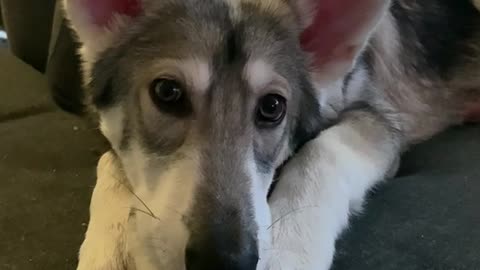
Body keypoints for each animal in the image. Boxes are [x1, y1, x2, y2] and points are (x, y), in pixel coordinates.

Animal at [63, 0, 480, 268]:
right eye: (167, 92)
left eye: (272, 107)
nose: (224, 262)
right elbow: (111, 161)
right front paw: (112, 246)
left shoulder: (379, 118)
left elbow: (322, 151)